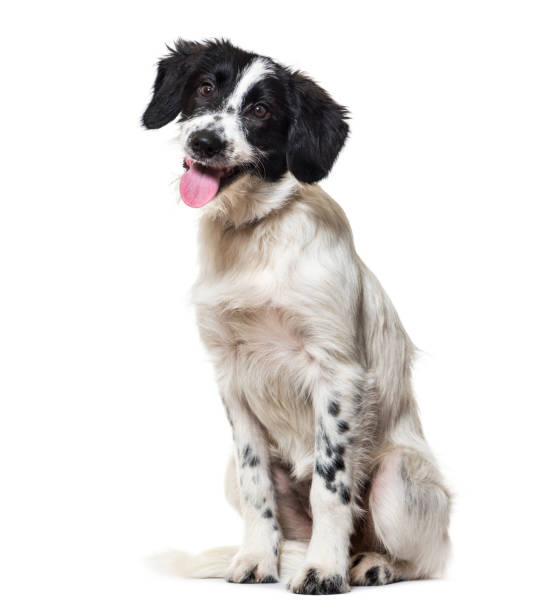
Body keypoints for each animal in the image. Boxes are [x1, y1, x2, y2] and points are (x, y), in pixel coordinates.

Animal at [143, 37, 452, 592]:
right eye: (205, 89)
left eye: (262, 111)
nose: (204, 142)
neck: (255, 233)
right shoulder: (231, 377)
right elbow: (255, 486)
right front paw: (255, 560)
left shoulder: (337, 372)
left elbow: (331, 487)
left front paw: (325, 570)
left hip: (397, 478)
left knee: (422, 558)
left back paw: (370, 565)